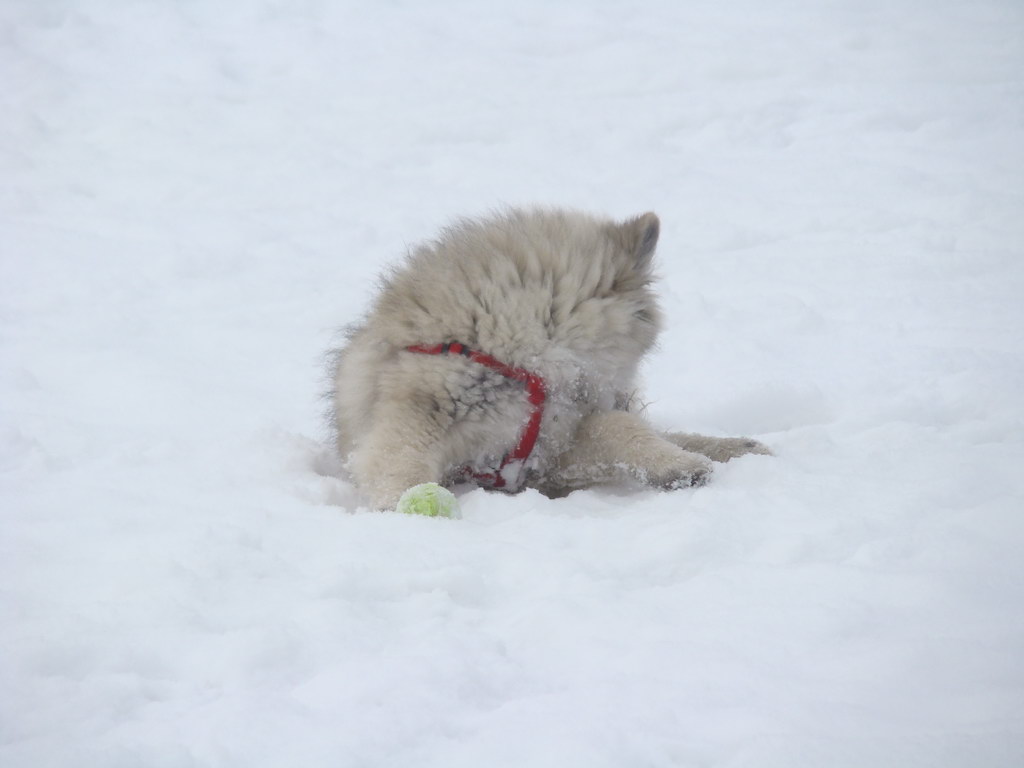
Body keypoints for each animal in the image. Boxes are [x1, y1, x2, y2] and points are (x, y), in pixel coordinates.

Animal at [329, 210, 770, 512]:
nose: (627, 399)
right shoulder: (418, 413)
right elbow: (401, 465)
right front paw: (406, 507)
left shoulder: (544, 459)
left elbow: (617, 427)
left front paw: (676, 463)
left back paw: (738, 447)